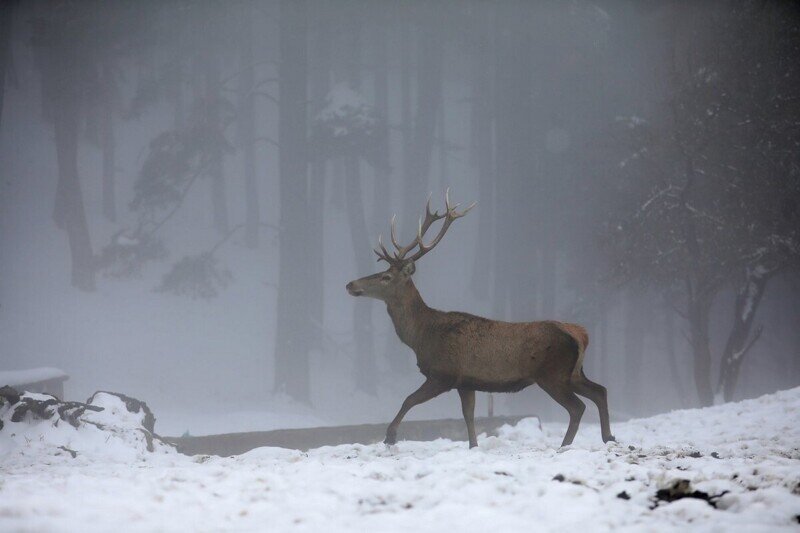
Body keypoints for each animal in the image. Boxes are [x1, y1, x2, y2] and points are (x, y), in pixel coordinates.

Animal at [342, 189, 612, 446]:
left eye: (386, 277)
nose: (350, 284)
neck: (421, 336)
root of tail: (581, 334)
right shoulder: (467, 382)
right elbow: (468, 416)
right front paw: (473, 445)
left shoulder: (444, 373)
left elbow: (408, 400)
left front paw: (389, 437)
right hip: (574, 373)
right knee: (600, 391)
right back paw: (608, 437)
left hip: (552, 374)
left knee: (577, 407)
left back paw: (566, 445)